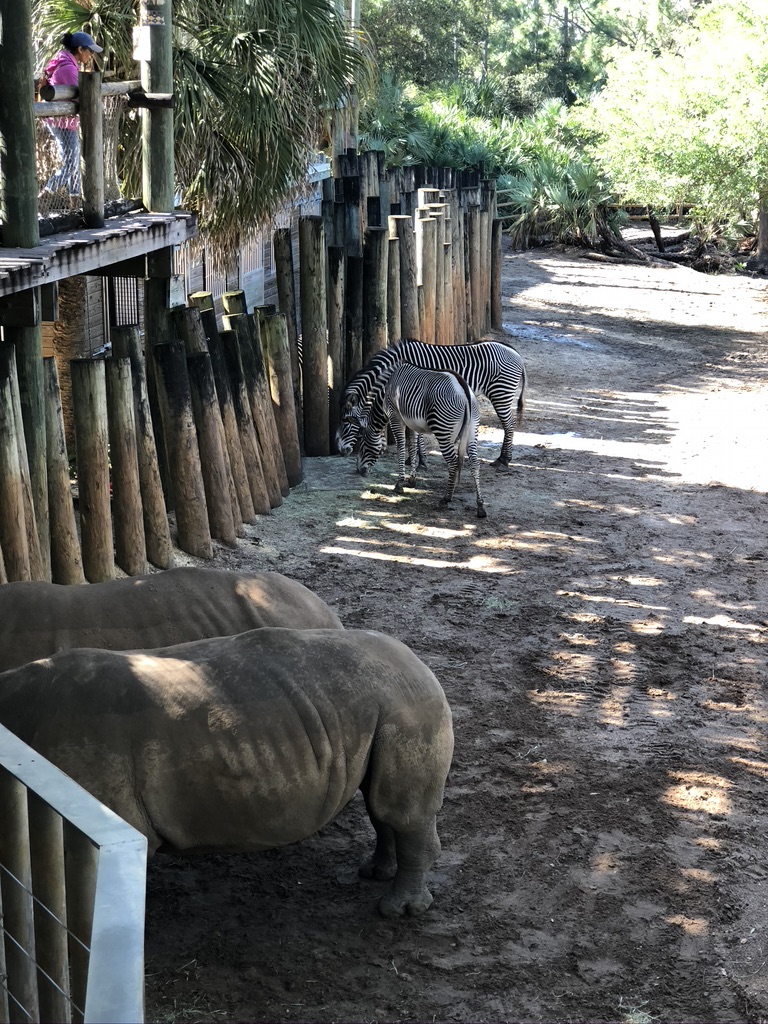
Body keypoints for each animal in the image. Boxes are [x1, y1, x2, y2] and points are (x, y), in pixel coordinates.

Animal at [337, 337, 528, 466]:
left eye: (347, 420)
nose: (340, 450)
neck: (397, 363)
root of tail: (516, 353)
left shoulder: (413, 394)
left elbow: (415, 432)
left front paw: (417, 459)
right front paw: (418, 459)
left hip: (501, 393)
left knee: (509, 424)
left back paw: (503, 459)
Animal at [354, 362, 487, 520]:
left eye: (362, 444)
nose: (359, 471)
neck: (386, 389)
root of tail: (464, 387)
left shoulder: (395, 416)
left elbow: (401, 447)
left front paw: (399, 484)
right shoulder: (412, 422)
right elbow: (413, 446)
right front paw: (412, 480)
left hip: (443, 430)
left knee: (453, 463)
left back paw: (446, 498)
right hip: (473, 430)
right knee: (475, 464)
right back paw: (480, 506)